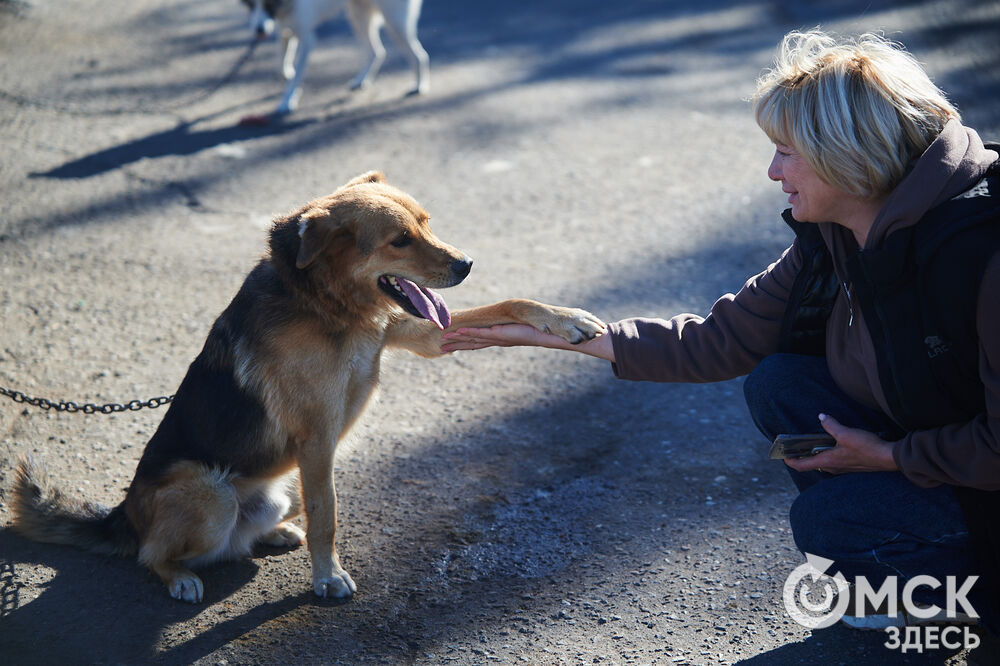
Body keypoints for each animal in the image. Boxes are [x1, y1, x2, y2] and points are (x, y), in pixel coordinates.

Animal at [9, 172, 600, 600]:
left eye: (428, 223)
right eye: (400, 240)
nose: (467, 264)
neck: (328, 304)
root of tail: (123, 512)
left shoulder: (425, 335)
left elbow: (513, 304)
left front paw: (569, 320)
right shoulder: (317, 439)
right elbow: (328, 516)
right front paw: (327, 578)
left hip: (281, 484)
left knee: (243, 537)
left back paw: (269, 533)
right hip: (213, 491)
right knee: (152, 553)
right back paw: (179, 578)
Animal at [245, 0, 430, 114]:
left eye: (268, 3)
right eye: (251, 4)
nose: (259, 30)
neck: (285, 7)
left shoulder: (307, 39)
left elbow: (296, 76)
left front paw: (287, 100)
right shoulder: (285, 32)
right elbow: (282, 60)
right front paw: (287, 75)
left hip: (394, 22)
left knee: (419, 55)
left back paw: (419, 86)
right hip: (357, 15)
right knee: (376, 52)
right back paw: (361, 81)